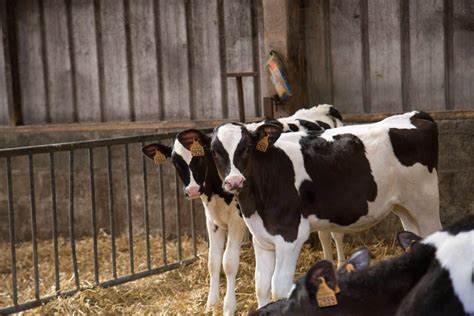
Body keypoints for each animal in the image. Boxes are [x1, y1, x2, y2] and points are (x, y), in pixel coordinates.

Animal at [143, 104, 342, 316]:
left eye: (201, 158)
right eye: (175, 162)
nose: (193, 190)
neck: (215, 193)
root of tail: (324, 108)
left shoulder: (237, 220)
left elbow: (229, 262)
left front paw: (228, 307)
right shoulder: (212, 219)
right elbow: (213, 261)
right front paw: (211, 303)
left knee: (334, 235)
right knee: (323, 235)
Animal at [211, 111, 440, 306]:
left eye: (247, 148)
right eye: (215, 152)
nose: (234, 182)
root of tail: (415, 115)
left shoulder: (291, 235)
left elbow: (279, 287)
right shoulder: (262, 238)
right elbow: (261, 285)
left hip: (426, 205)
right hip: (406, 208)